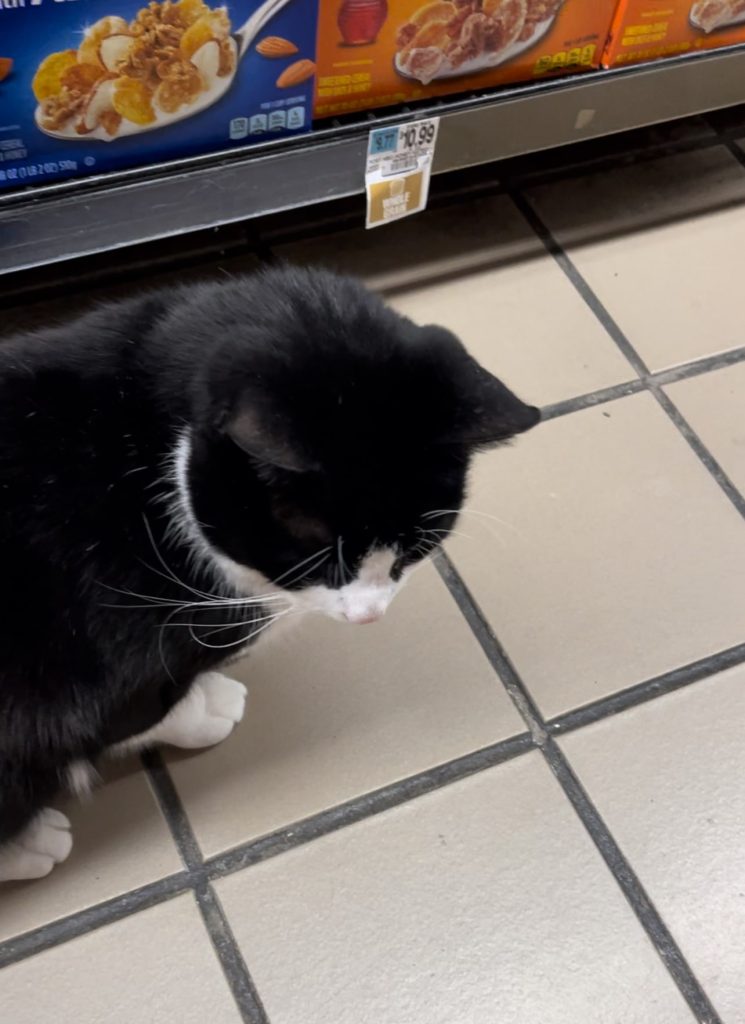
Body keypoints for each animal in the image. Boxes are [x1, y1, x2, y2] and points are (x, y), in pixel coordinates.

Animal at [0, 264, 540, 880]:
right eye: (319, 557)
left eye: (414, 549)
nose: (369, 615)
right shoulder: (105, 674)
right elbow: (140, 714)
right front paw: (206, 708)